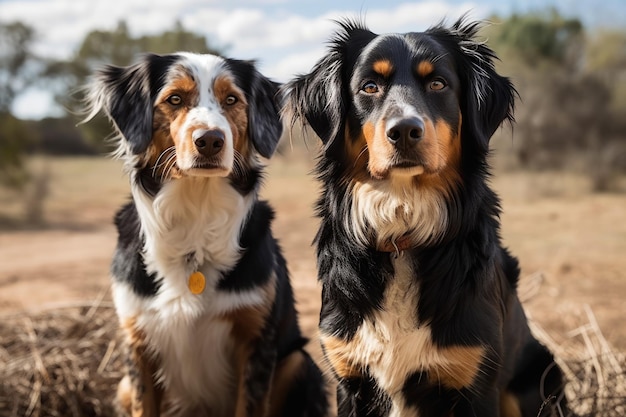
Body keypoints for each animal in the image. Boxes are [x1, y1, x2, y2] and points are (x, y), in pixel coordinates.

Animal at [86, 52, 326, 416]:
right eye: (174, 99)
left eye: (232, 100)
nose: (210, 140)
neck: (196, 211)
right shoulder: (137, 342)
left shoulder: (256, 340)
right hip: (124, 385)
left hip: (298, 362)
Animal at [282, 17, 564, 414]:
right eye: (369, 86)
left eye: (437, 83)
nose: (404, 130)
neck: (403, 230)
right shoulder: (349, 376)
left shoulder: (474, 378)